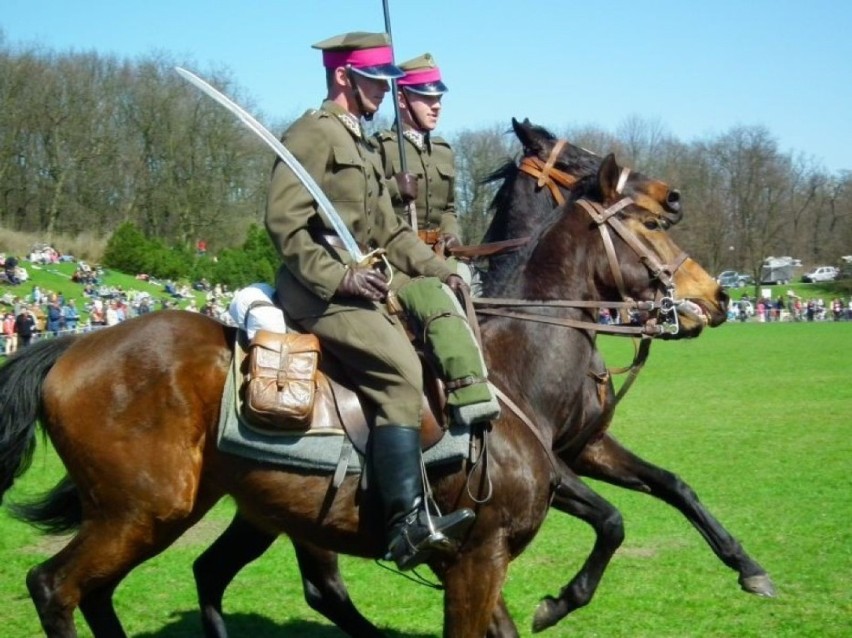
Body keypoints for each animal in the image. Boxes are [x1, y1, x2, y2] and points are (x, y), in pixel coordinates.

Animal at [3, 152, 728, 636]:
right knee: (55, 587)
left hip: (199, 510)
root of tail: (76, 346)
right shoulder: (476, 562)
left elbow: (641, 502)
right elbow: (605, 523)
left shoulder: (528, 512)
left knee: (140, 585)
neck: (510, 369)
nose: (717, 295)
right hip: (142, 511)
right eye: (648, 224)